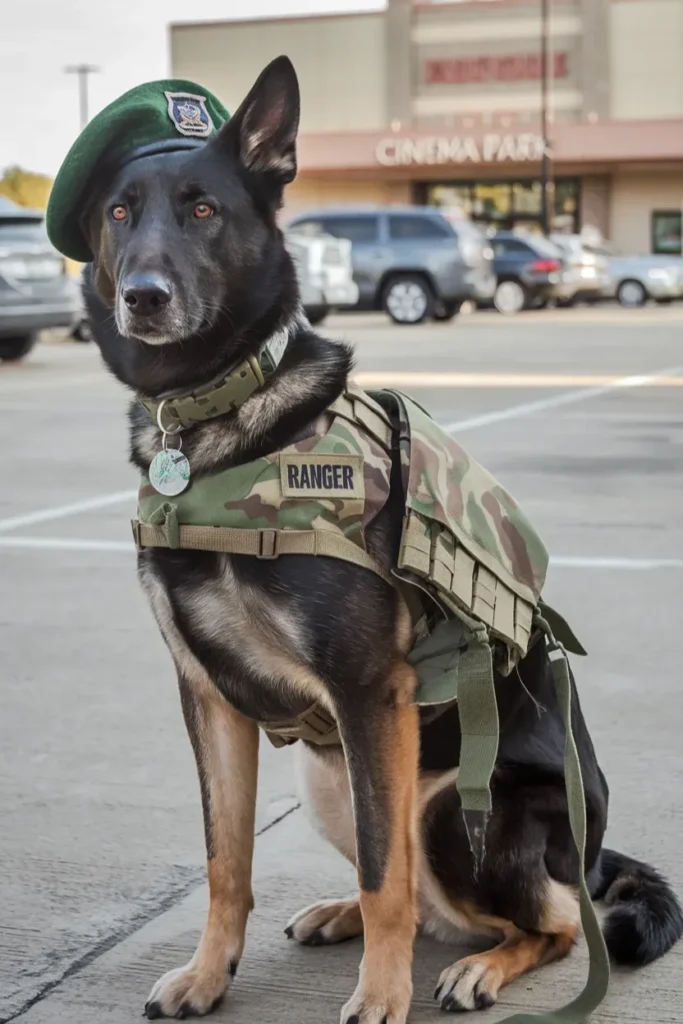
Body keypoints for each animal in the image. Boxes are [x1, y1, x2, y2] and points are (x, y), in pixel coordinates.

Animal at [80, 58, 683, 1024]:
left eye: (203, 209)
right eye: (118, 213)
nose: (142, 296)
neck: (217, 420)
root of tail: (594, 852)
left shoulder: (368, 692)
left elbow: (382, 868)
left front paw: (379, 995)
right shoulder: (207, 695)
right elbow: (225, 857)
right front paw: (210, 974)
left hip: (456, 809)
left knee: (543, 918)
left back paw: (479, 964)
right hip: (327, 781)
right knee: (434, 898)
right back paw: (339, 917)